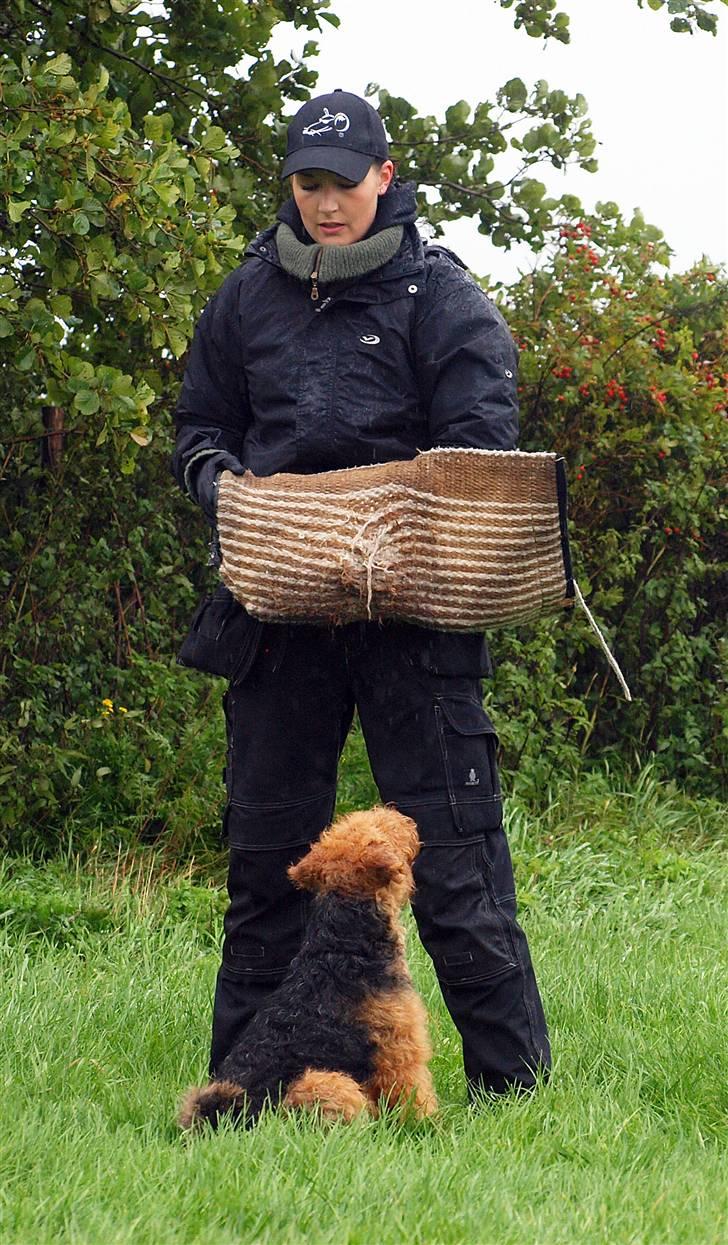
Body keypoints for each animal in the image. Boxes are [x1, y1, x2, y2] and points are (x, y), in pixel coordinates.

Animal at [177, 806, 435, 1130]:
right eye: (383, 828)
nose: (404, 819)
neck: (343, 943)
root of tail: (241, 1116)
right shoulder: (400, 1048)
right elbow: (414, 1095)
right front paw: (426, 1128)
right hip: (328, 1082)